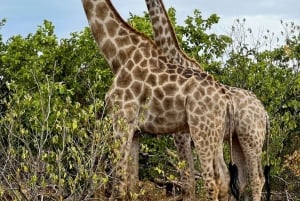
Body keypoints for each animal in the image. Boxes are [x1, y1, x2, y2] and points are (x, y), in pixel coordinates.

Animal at [81, 0, 236, 200]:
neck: (119, 54)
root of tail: (226, 99)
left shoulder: (122, 119)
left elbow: (119, 187)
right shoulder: (135, 130)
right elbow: (133, 186)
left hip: (201, 131)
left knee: (210, 183)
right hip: (215, 134)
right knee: (224, 178)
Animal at [145, 0, 270, 200]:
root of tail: (265, 113)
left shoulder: (182, 135)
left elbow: (189, 180)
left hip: (252, 139)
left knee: (256, 177)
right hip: (238, 141)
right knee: (244, 177)